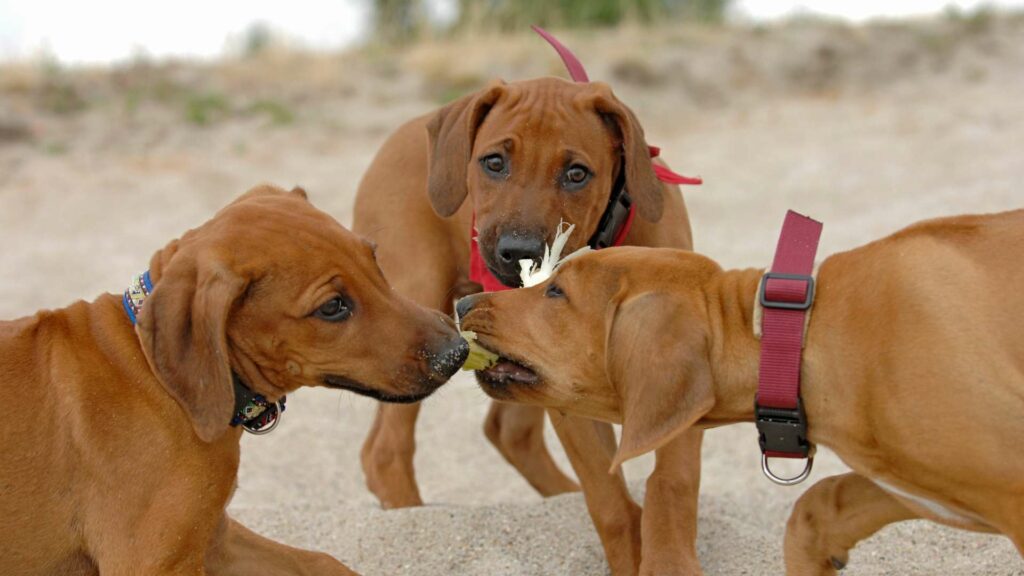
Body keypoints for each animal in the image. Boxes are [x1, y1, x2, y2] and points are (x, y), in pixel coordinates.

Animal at [1, 184, 468, 573]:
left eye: (375, 260)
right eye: (332, 307)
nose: (457, 352)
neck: (158, 377)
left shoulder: (214, 539)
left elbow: (321, 560)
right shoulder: (155, 561)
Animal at [354, 75, 704, 569]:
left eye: (576, 173)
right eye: (494, 163)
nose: (518, 252)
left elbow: (673, 482)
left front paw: (668, 559)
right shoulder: (567, 393)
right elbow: (609, 501)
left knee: (505, 430)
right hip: (417, 315)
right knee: (387, 450)